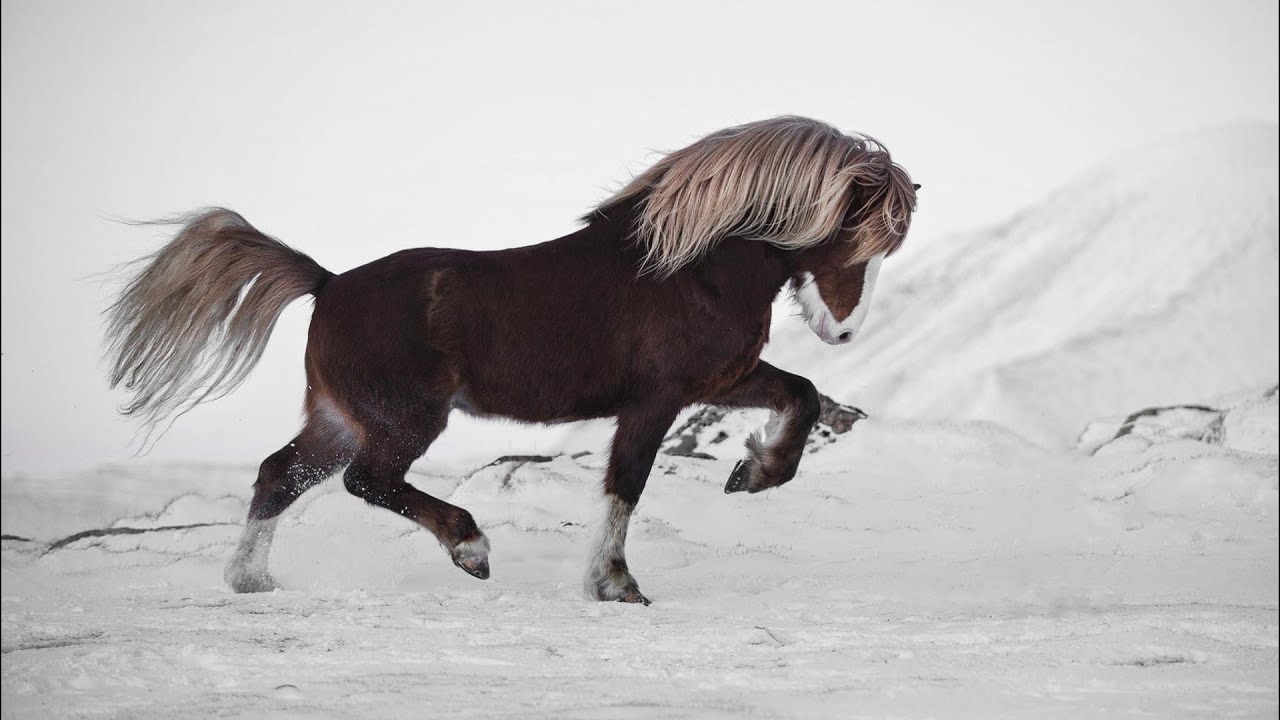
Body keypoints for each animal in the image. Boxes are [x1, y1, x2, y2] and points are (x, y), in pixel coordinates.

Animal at [104, 116, 918, 604]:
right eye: (855, 237)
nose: (843, 332)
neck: (689, 268)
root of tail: (327, 283)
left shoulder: (721, 379)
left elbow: (802, 395)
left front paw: (751, 472)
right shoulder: (655, 399)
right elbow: (625, 486)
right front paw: (614, 585)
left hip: (338, 417)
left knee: (281, 475)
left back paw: (251, 579)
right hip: (403, 419)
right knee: (368, 481)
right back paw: (470, 547)